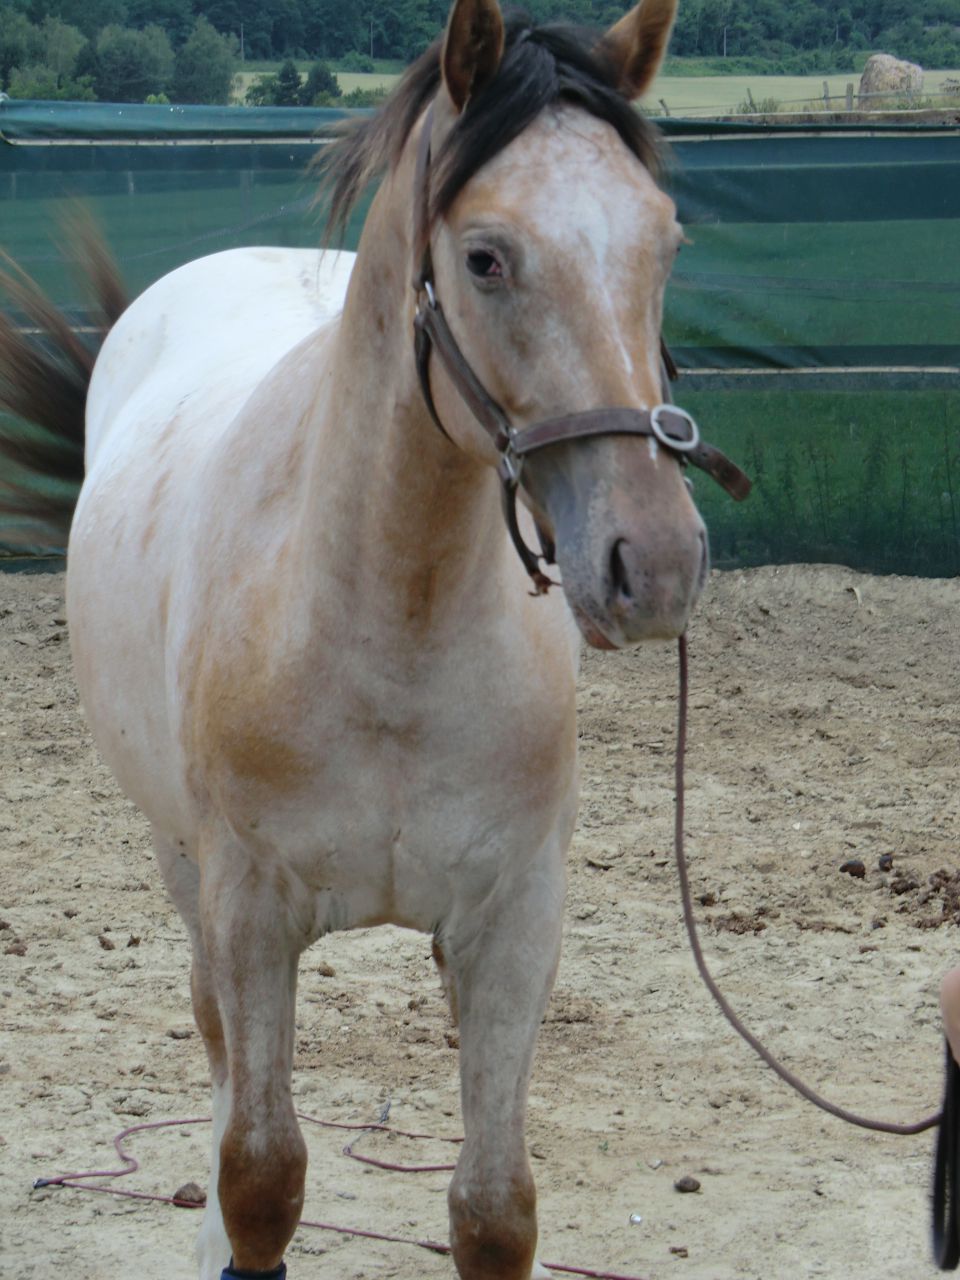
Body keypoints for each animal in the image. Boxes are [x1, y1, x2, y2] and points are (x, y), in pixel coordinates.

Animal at [0, 1, 749, 1276]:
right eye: (486, 257)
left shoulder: (513, 918)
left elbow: (494, 1207)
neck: (385, 627)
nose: (652, 564)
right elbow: (260, 1177)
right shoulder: (251, 912)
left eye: (666, 245)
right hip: (182, 867)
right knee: (215, 1059)